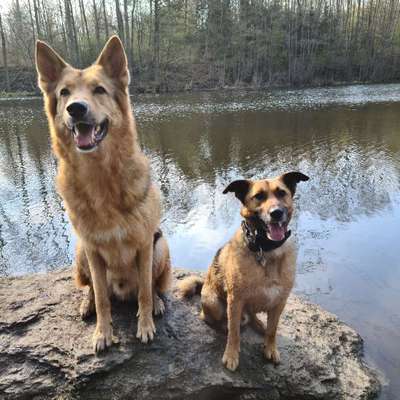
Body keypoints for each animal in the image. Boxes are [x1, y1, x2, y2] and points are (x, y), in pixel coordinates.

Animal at [35, 35, 171, 354]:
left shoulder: (145, 244)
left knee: (151, 286)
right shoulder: (93, 249)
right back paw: (87, 305)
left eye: (99, 89)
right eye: (64, 93)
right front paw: (102, 333)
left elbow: (145, 292)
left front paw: (145, 324)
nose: (76, 109)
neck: (101, 178)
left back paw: (158, 303)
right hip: (80, 251)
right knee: (92, 290)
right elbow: (101, 298)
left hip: (161, 246)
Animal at [180, 172, 310, 372]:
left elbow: (273, 330)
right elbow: (234, 332)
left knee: (253, 317)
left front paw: (270, 348)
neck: (265, 249)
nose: (276, 213)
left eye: (281, 193)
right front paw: (231, 355)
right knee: (214, 319)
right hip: (215, 304)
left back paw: (259, 325)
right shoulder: (235, 300)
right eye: (259, 196)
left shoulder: (279, 302)